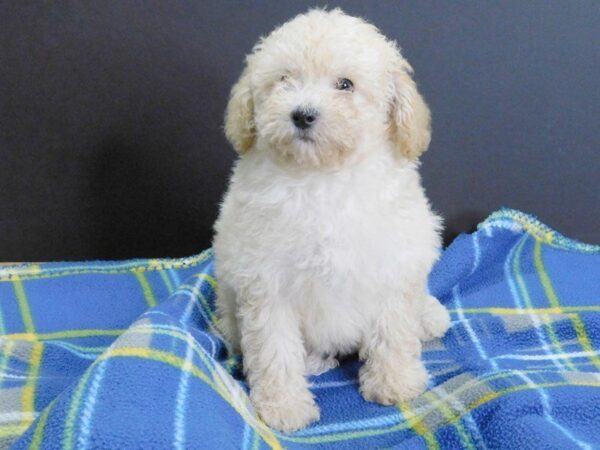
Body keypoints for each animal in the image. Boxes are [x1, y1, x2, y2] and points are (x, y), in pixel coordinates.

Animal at [213, 8, 448, 432]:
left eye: (345, 85)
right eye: (284, 79)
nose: (302, 114)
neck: (322, 176)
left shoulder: (392, 261)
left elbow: (394, 329)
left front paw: (395, 382)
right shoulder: (266, 281)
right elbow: (273, 349)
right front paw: (284, 406)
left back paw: (429, 316)